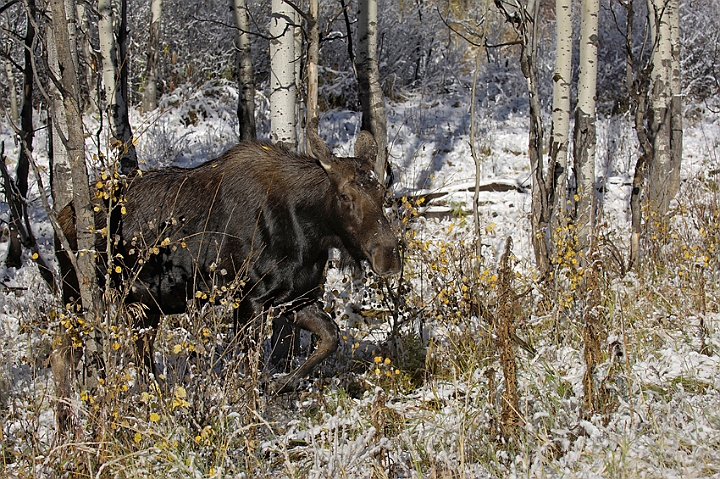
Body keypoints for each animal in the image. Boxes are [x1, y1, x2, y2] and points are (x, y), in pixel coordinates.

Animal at [54, 127, 404, 404]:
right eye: (345, 196)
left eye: (383, 192)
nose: (389, 257)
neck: (312, 233)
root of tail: (62, 213)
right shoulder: (249, 298)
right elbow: (248, 370)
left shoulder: (295, 297)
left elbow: (330, 337)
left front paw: (280, 385)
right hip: (78, 294)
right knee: (64, 356)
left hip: (144, 306)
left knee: (141, 358)